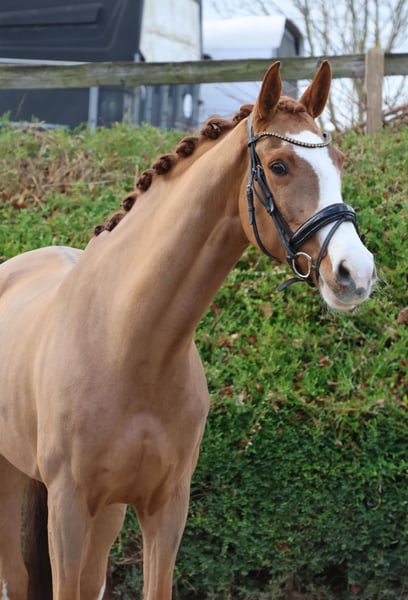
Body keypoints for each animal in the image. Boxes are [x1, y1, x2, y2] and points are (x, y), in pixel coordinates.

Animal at [0, 61, 376, 600]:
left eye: (339, 162)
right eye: (279, 166)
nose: (355, 273)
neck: (128, 343)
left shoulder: (165, 508)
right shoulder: (67, 506)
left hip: (106, 512)